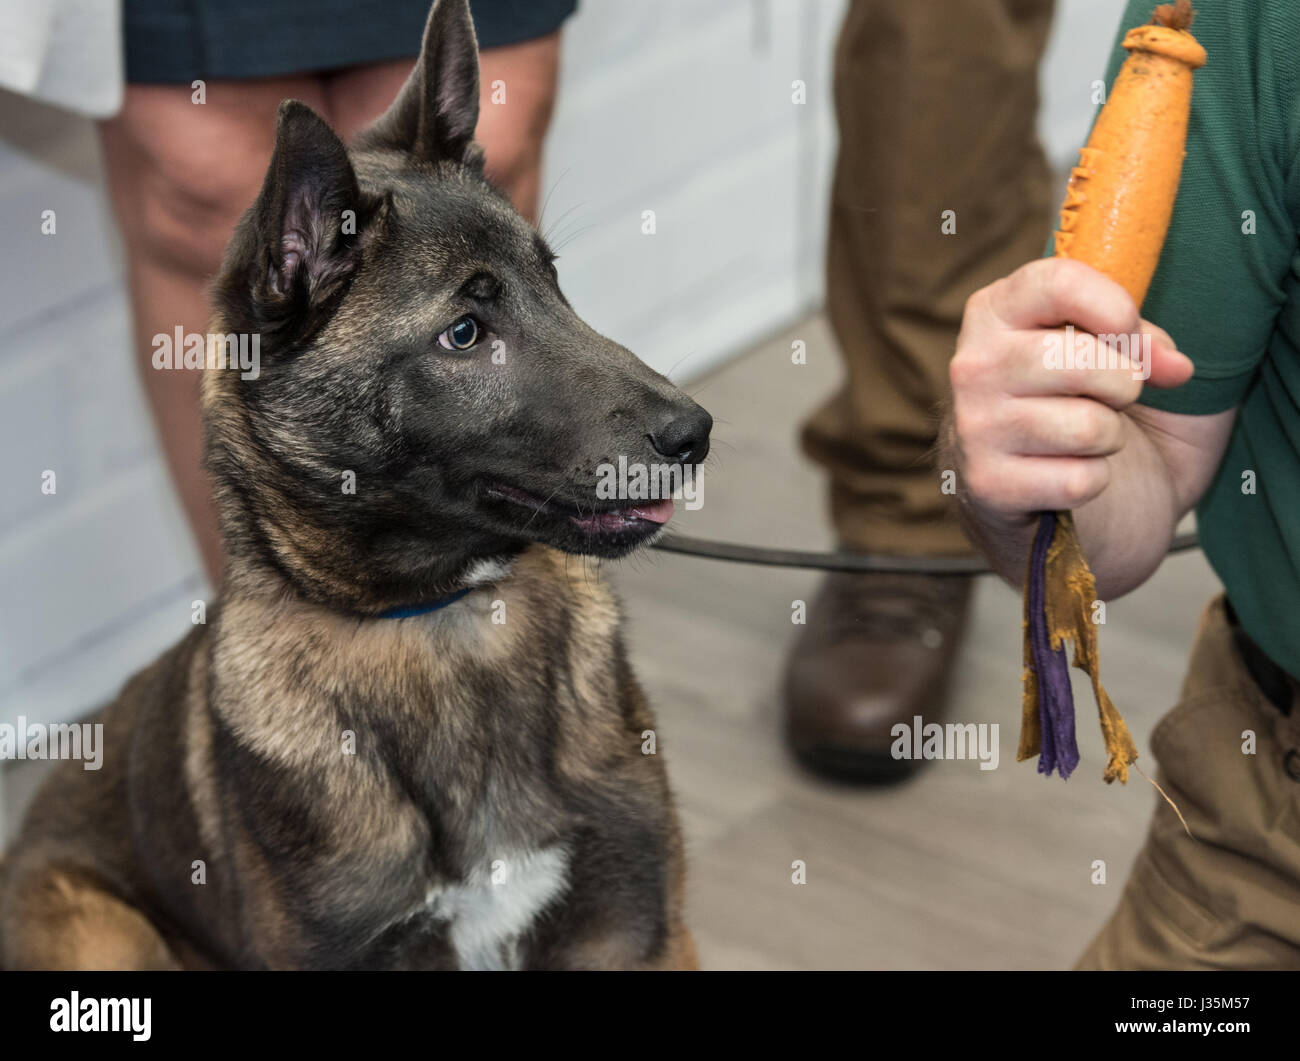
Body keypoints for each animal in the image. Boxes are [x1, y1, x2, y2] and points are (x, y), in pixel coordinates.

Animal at [0, 0, 712, 967]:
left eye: (553, 279)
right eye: (463, 333)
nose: (695, 434)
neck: (448, 621)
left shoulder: (639, 933)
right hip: (105, 939)